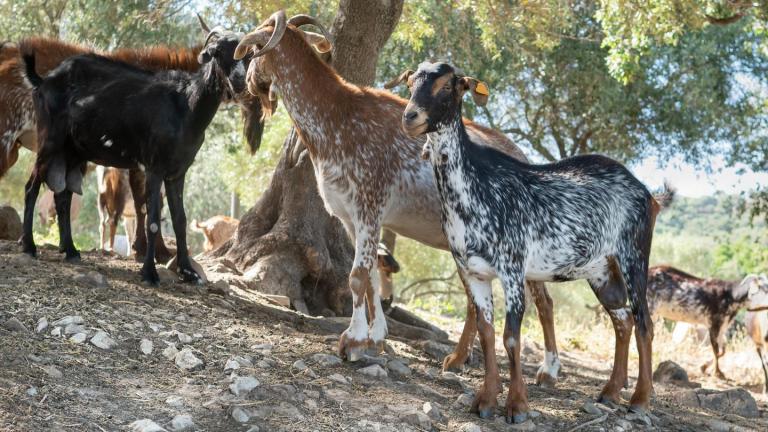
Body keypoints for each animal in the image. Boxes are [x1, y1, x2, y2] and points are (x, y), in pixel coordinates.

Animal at [21, 27, 249, 284]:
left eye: (248, 54)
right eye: (217, 52)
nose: (239, 81)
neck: (185, 106)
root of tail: (43, 81)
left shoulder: (177, 172)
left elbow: (180, 220)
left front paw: (188, 271)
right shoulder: (154, 167)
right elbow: (152, 219)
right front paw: (149, 272)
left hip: (74, 152)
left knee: (63, 197)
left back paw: (70, 250)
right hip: (49, 140)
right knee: (31, 187)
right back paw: (29, 246)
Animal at [234, 9, 564, 384]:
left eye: (253, 51)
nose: (246, 83)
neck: (336, 113)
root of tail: (525, 159)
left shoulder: (369, 204)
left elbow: (357, 277)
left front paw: (352, 341)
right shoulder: (349, 215)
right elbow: (371, 279)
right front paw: (375, 337)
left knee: (544, 301)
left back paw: (549, 370)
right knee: (474, 300)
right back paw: (457, 358)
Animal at [400, 62, 668, 424]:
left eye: (447, 86)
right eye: (411, 83)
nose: (410, 116)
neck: (476, 186)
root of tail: (648, 195)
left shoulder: (513, 269)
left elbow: (511, 337)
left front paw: (517, 406)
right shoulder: (473, 272)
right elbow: (487, 333)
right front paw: (485, 400)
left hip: (633, 255)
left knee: (644, 323)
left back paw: (639, 399)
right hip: (600, 271)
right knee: (622, 319)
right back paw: (610, 391)